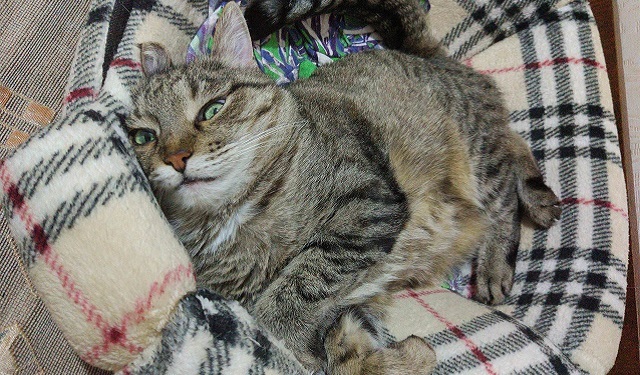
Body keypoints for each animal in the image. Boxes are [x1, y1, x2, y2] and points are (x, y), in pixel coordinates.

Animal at [129, 1, 560, 374]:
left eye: (212, 109)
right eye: (144, 137)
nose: (176, 158)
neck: (231, 219)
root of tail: (424, 53)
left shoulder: (368, 204)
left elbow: (298, 286)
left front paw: (281, 334)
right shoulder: (345, 315)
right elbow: (348, 356)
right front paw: (404, 358)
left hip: (475, 150)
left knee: (503, 192)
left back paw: (496, 261)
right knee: (513, 141)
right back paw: (539, 197)